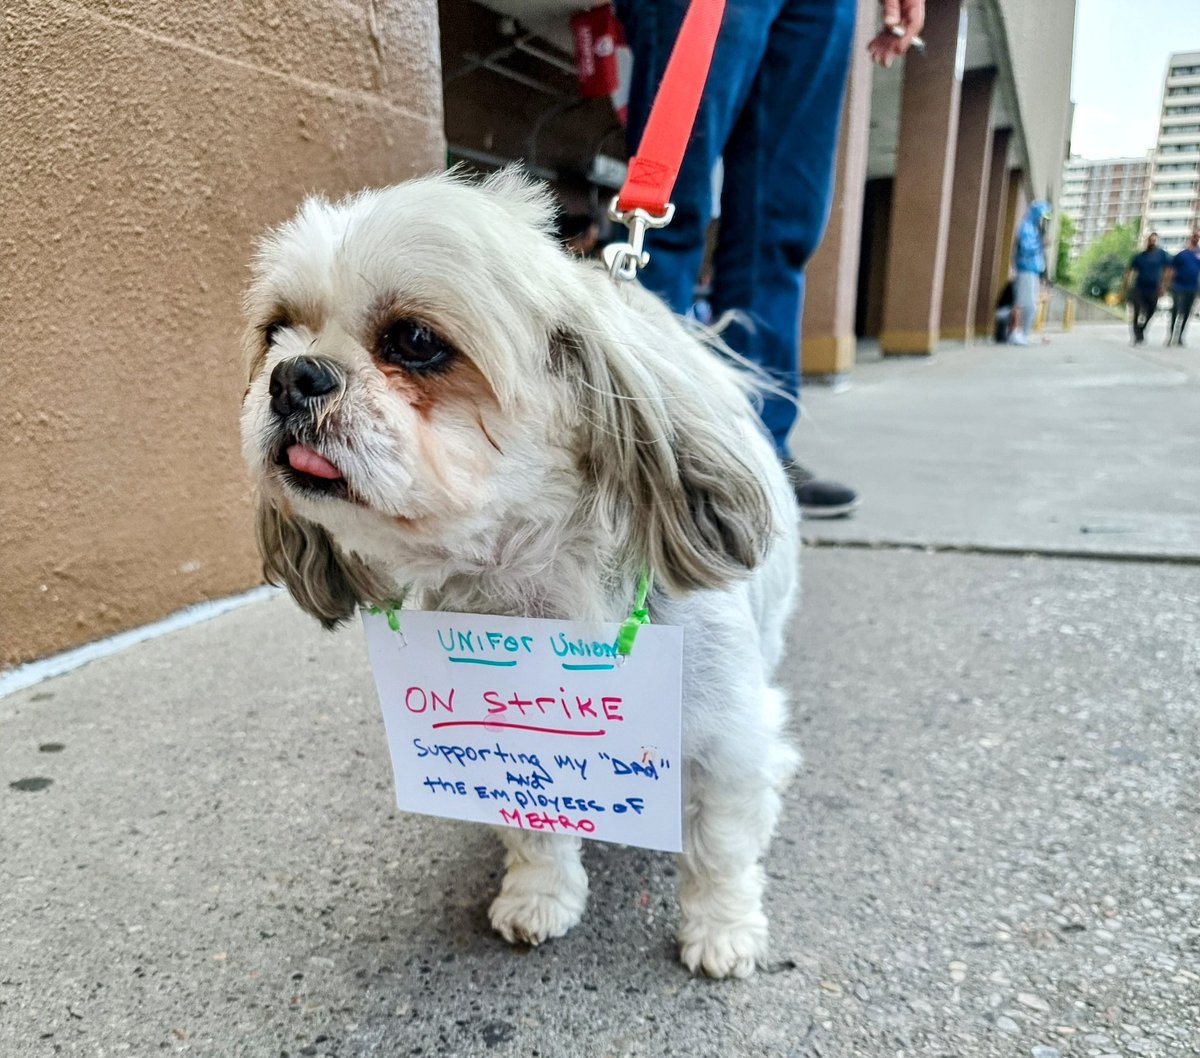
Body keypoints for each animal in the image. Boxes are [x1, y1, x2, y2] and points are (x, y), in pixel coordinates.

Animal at [236, 169, 796, 978]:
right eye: (276, 330)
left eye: (415, 340)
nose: (293, 375)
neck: (533, 585)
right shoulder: (517, 752)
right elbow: (535, 828)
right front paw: (540, 896)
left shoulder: (726, 740)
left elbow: (719, 846)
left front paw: (722, 928)